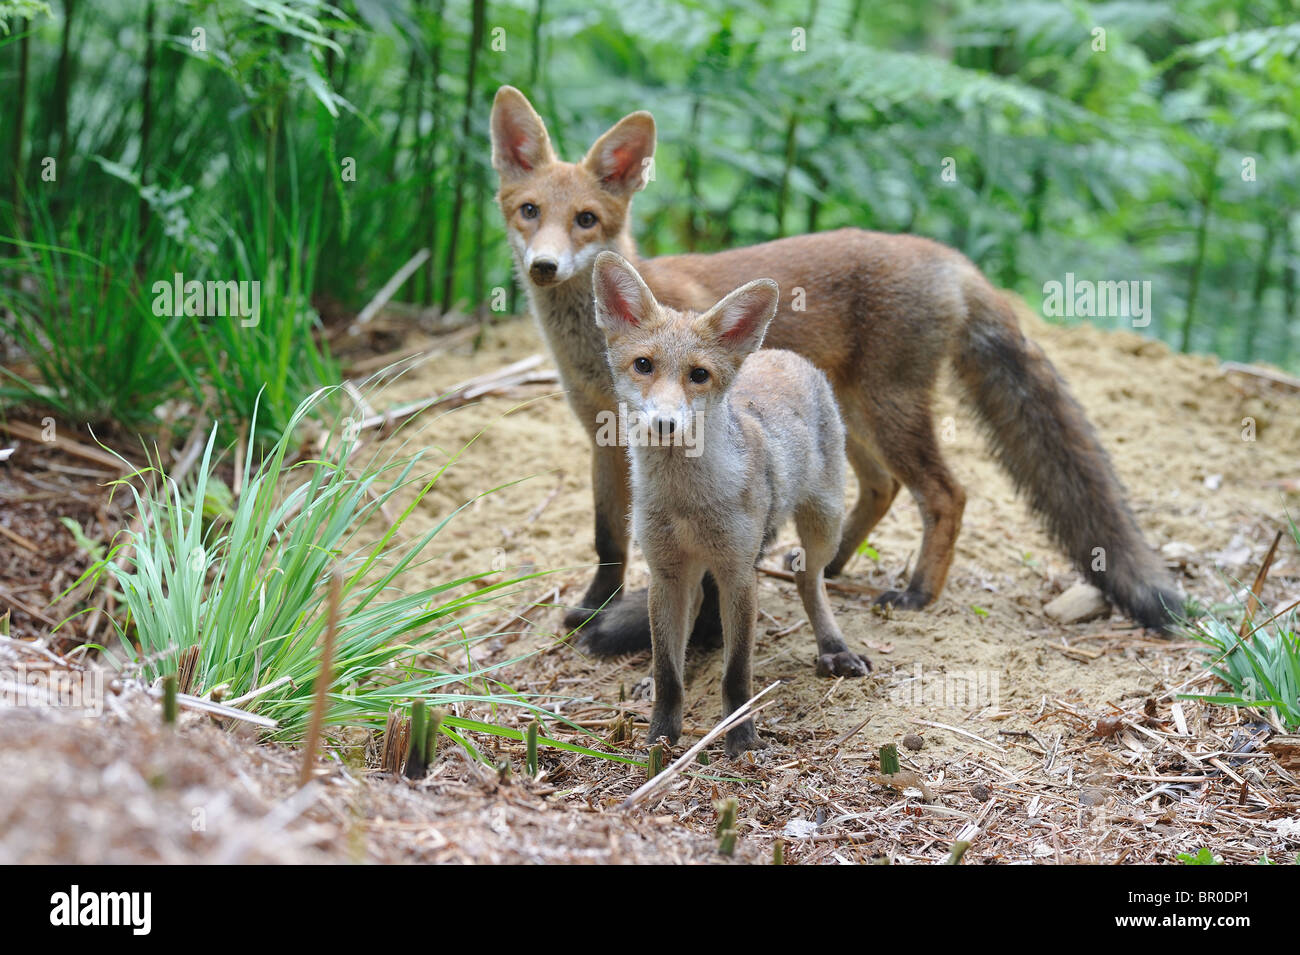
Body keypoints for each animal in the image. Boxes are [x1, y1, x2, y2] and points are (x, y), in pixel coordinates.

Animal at [489, 84, 1181, 656]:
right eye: (528, 211)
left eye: (586, 220)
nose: (544, 267)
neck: (587, 346)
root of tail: (950, 258)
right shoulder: (603, 439)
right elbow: (608, 541)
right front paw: (591, 607)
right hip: (850, 417)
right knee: (882, 488)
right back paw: (833, 564)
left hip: (888, 407)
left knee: (945, 493)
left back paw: (917, 593)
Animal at [592, 251, 871, 756]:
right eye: (644, 365)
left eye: (699, 375)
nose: (665, 423)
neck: (686, 503)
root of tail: (779, 351)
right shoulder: (665, 572)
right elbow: (669, 673)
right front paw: (661, 737)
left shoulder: (738, 573)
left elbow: (736, 674)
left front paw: (741, 738)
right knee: (695, 612)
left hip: (825, 522)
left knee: (807, 575)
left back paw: (833, 648)